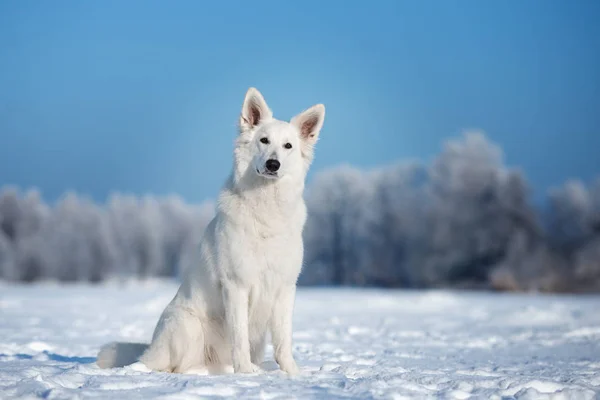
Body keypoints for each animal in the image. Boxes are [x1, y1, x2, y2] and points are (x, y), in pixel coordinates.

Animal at [96, 86, 326, 376]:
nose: (273, 164)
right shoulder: (237, 287)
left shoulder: (285, 288)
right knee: (175, 367)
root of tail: (150, 351)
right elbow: (239, 336)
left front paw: (292, 373)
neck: (266, 209)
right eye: (264, 140)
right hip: (187, 325)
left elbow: (284, 340)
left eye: (288, 146)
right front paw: (245, 373)